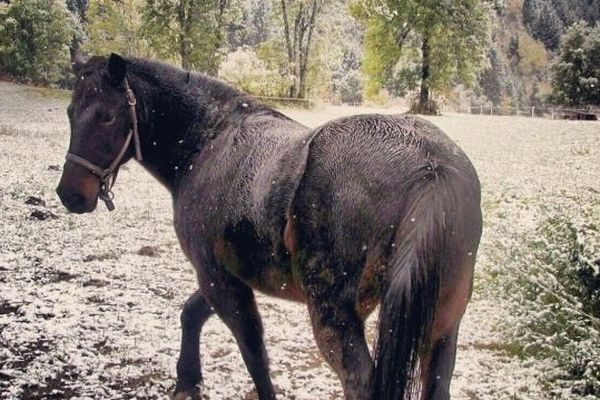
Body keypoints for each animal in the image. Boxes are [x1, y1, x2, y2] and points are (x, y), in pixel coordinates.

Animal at [56, 50, 482, 400]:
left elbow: (254, 355)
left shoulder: (218, 279)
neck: (210, 141)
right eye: (70, 113)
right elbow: (192, 314)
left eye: (108, 116)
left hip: (334, 317)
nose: (70, 194)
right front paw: (187, 381)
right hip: (443, 326)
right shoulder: (226, 276)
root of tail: (431, 167)